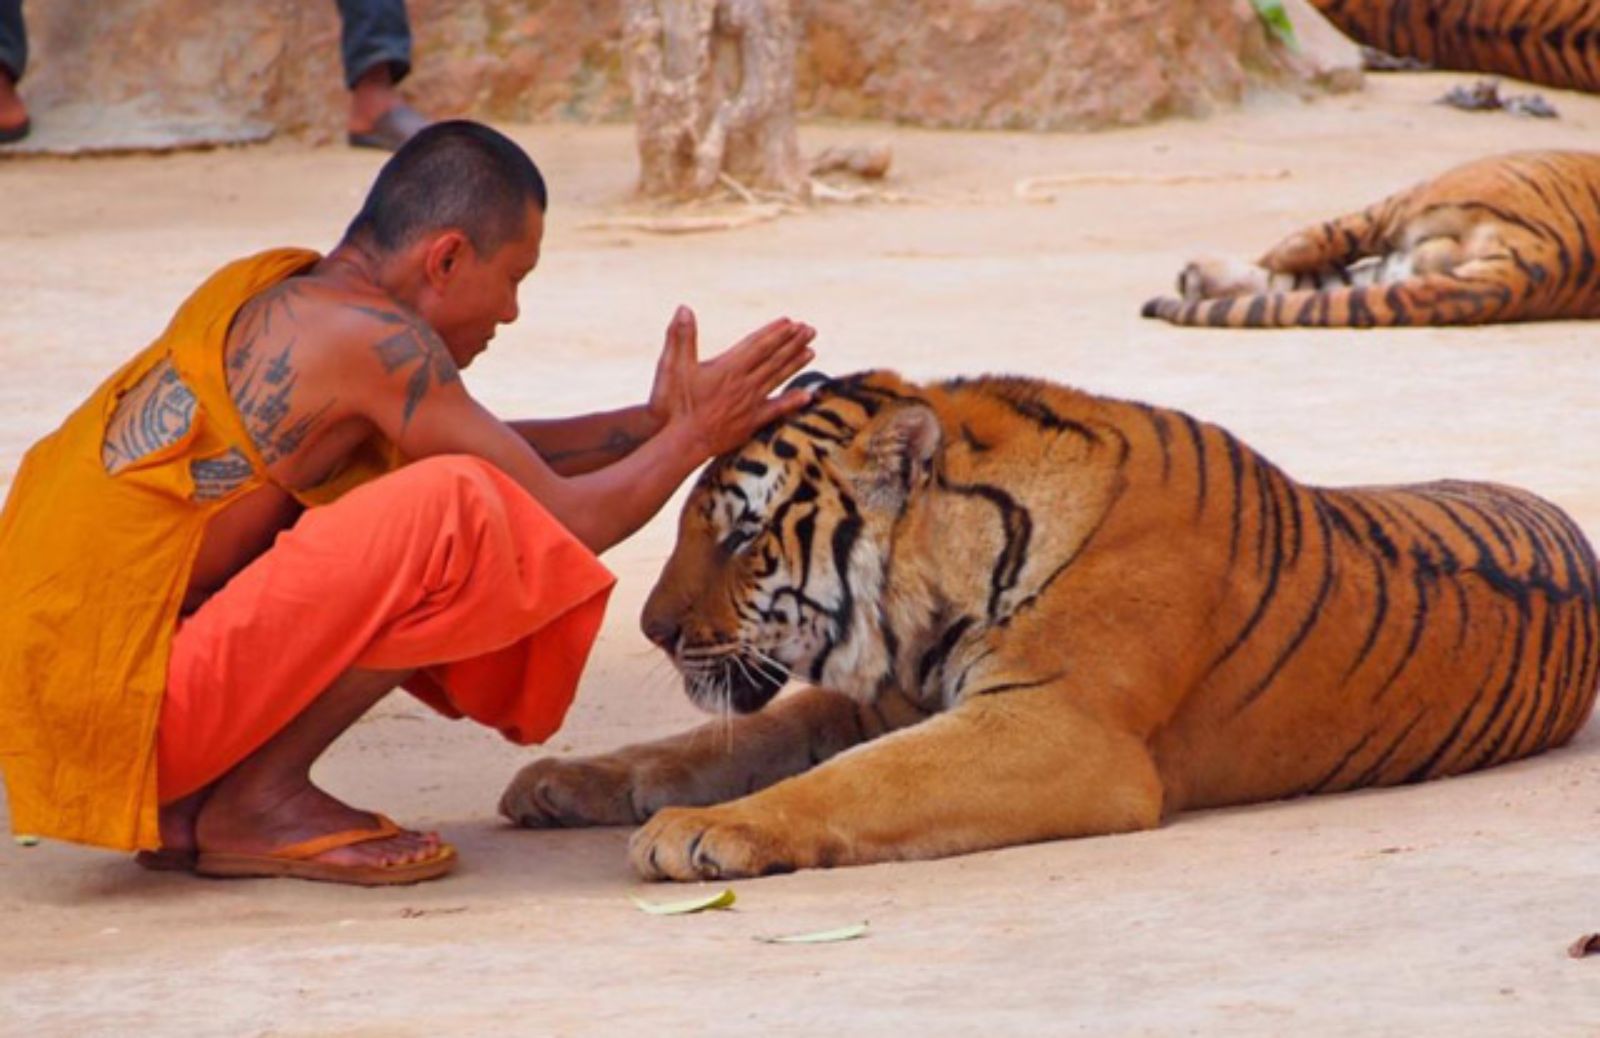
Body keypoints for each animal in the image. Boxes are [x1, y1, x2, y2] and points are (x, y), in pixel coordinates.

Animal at [499, 367, 1600, 876]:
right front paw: (565, 781)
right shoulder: (875, 703)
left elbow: (855, 781)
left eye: (739, 535)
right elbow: (711, 743)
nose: (652, 629)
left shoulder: (1055, 726)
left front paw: (702, 832)